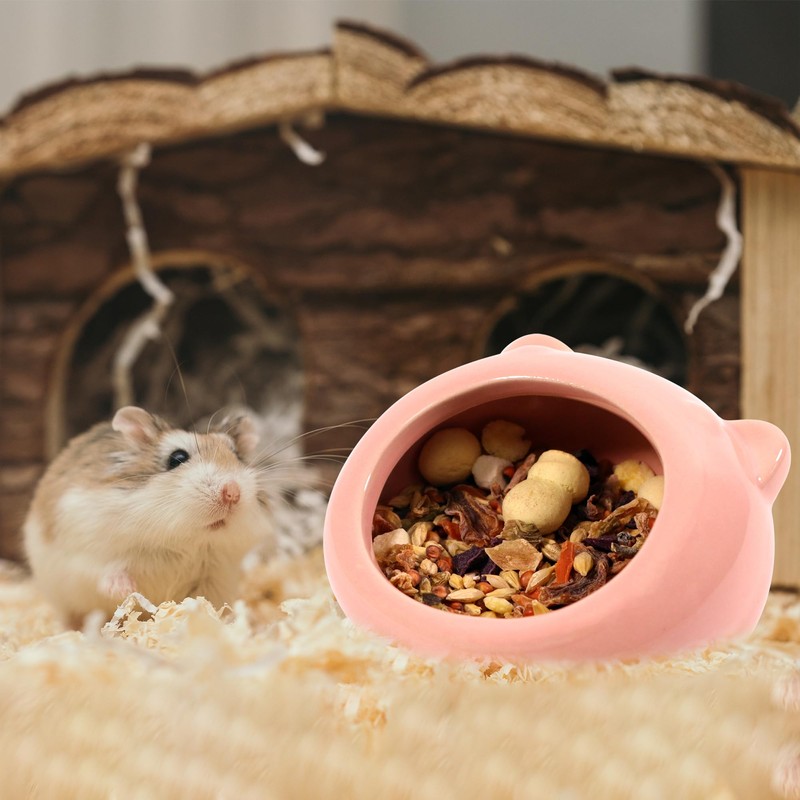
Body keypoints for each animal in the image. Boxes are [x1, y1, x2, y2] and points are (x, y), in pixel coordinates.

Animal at [23, 406, 275, 628]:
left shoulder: (216, 576)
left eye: (237, 456)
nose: (232, 492)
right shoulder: (87, 552)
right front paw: (127, 590)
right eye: (177, 458)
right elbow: (106, 571)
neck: (184, 541)